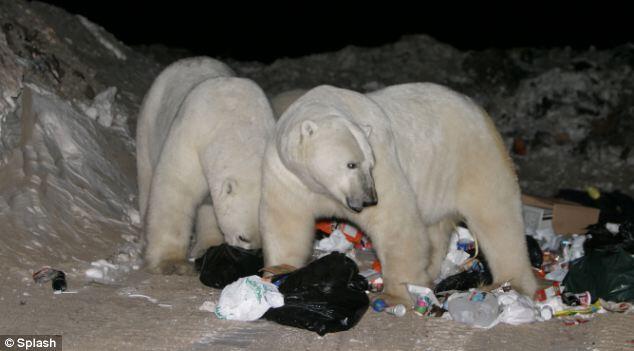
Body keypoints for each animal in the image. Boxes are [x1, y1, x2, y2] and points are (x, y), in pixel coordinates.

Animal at [136, 57, 274, 276]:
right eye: (243, 237)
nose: (256, 254)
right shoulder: (192, 139)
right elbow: (175, 192)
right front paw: (171, 263)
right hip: (149, 121)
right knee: (146, 178)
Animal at [260, 82, 536, 302]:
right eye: (351, 164)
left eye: (369, 164)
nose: (369, 199)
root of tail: (476, 108)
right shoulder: (287, 177)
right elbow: (286, 227)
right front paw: (278, 272)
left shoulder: (382, 160)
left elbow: (393, 222)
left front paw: (394, 296)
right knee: (435, 228)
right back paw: (428, 273)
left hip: (474, 157)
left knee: (497, 217)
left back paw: (512, 283)